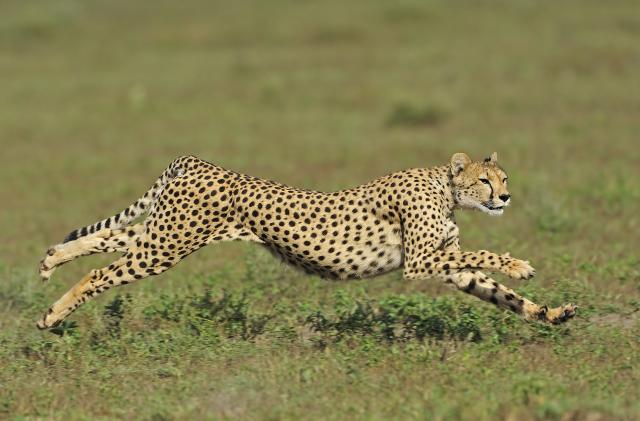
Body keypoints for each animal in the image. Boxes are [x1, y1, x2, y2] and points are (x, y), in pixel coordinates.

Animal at [38, 152, 580, 328]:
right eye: (486, 181)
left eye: (503, 178)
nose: (505, 197)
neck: (446, 189)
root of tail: (196, 160)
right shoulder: (420, 262)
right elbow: (486, 257)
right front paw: (519, 265)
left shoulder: (445, 264)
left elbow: (497, 292)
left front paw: (550, 313)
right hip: (167, 245)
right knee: (101, 271)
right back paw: (52, 316)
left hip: (165, 232)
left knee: (108, 238)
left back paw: (50, 261)